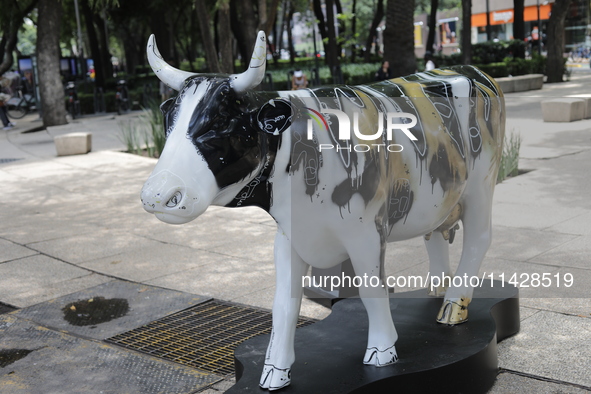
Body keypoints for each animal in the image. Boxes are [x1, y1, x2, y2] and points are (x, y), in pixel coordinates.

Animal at [140, 31, 504, 390]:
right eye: (168, 120)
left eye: (219, 122)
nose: (156, 194)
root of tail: (473, 70)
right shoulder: (290, 236)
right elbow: (284, 303)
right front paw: (275, 370)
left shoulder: (366, 233)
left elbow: (372, 290)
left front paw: (382, 349)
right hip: (441, 195)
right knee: (435, 233)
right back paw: (438, 287)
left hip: (482, 185)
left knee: (479, 239)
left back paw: (453, 306)